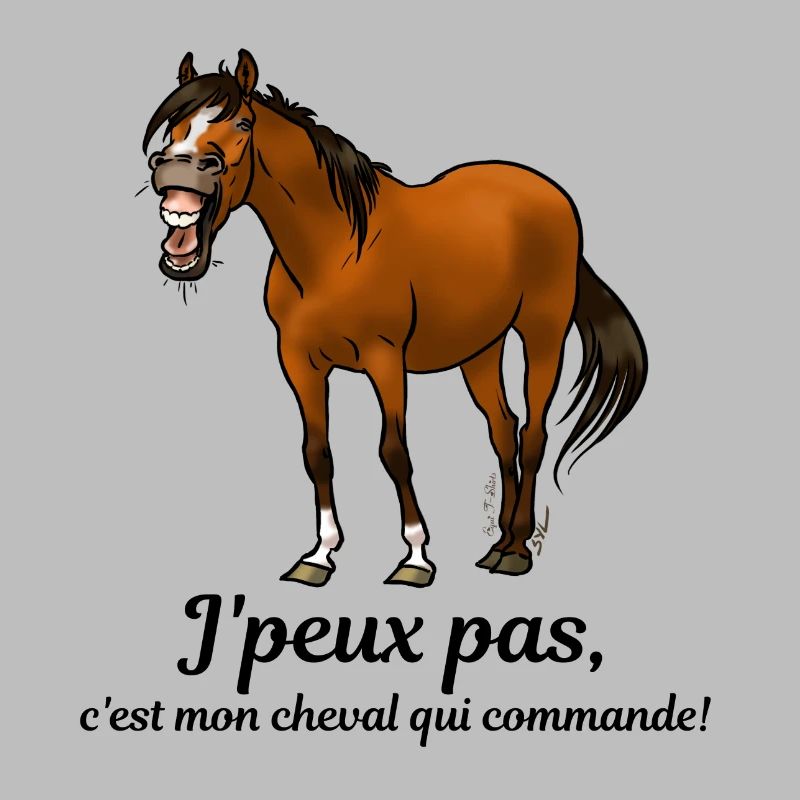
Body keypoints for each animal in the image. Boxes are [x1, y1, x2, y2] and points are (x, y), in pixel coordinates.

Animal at [143, 49, 648, 588]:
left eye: (241, 122)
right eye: (175, 125)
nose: (176, 167)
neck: (336, 250)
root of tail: (551, 193)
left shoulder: (385, 360)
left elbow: (394, 452)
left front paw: (416, 558)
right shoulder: (300, 363)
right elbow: (317, 453)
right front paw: (319, 556)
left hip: (542, 332)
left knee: (532, 433)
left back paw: (516, 552)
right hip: (481, 349)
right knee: (503, 428)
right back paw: (498, 544)